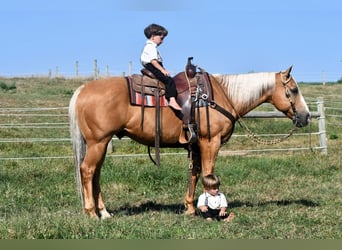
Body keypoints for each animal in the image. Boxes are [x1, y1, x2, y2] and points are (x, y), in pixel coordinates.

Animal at [69, 65, 310, 218]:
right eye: (294, 90)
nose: (306, 116)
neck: (222, 95)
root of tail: (83, 89)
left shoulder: (195, 145)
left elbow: (194, 173)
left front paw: (190, 208)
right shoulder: (210, 142)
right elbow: (208, 172)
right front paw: (208, 208)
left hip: (100, 144)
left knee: (96, 173)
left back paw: (105, 212)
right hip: (98, 142)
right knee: (88, 170)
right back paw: (91, 212)